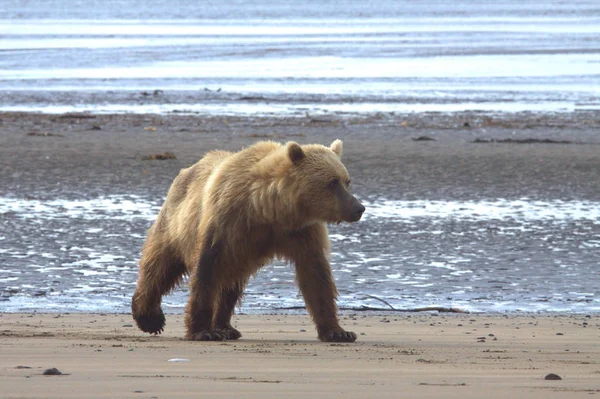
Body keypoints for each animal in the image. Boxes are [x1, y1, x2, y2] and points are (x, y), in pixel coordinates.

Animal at [132, 139, 366, 342]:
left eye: (347, 181)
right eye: (332, 182)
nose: (358, 208)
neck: (268, 209)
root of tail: (186, 170)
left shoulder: (301, 232)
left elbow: (316, 275)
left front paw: (338, 332)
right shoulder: (226, 221)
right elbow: (206, 269)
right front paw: (202, 331)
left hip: (241, 253)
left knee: (230, 285)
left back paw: (225, 327)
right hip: (177, 223)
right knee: (160, 265)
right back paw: (149, 317)